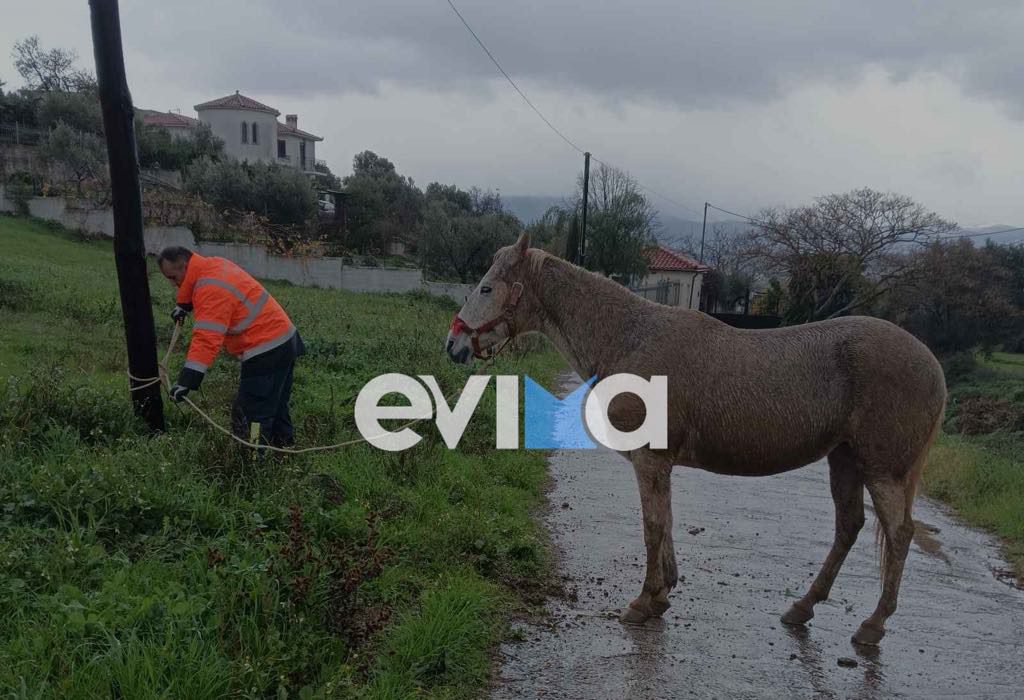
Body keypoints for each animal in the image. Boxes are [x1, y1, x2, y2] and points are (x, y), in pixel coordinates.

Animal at [444, 232, 946, 646]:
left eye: (486, 288)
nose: (454, 345)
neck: (629, 337)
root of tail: (932, 364)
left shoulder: (650, 459)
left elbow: (653, 526)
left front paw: (643, 602)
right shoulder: (659, 462)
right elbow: (665, 522)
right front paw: (662, 595)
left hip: (881, 469)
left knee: (899, 534)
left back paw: (872, 625)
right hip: (844, 459)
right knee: (849, 527)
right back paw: (802, 608)